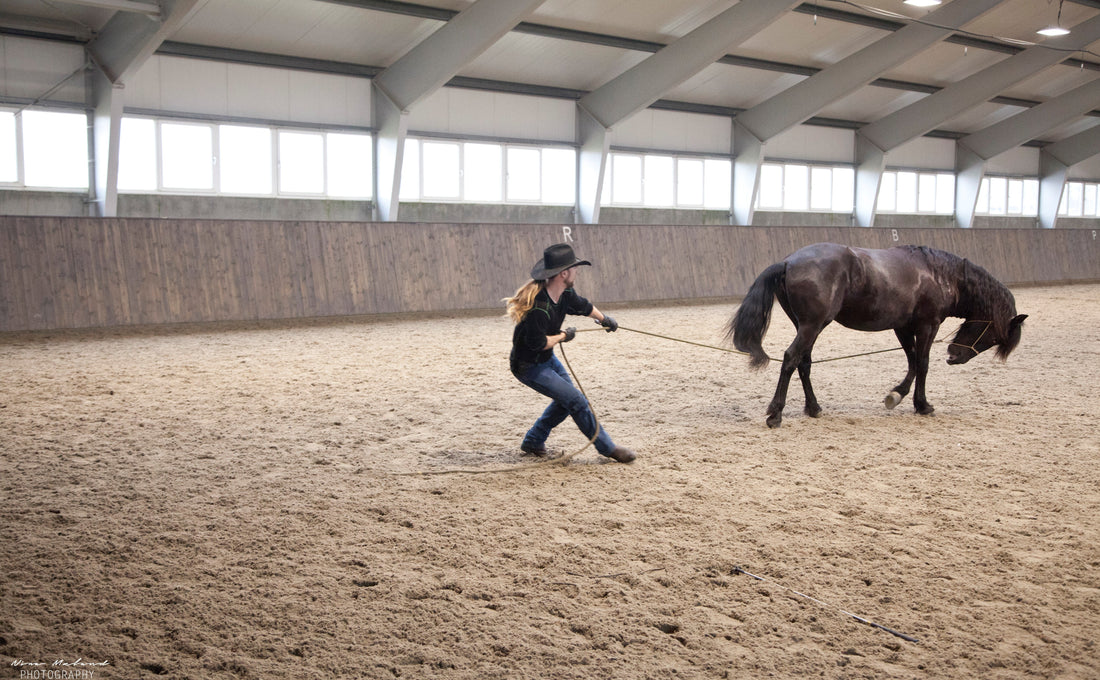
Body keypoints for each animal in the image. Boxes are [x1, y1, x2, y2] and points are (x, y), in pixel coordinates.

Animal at [726, 240, 1025, 426]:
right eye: (993, 336)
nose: (954, 356)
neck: (939, 274)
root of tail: (788, 262)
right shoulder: (927, 325)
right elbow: (923, 364)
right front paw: (922, 405)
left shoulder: (902, 327)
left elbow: (912, 362)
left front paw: (897, 395)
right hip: (812, 325)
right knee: (791, 358)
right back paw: (775, 413)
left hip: (808, 326)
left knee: (804, 362)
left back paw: (814, 408)